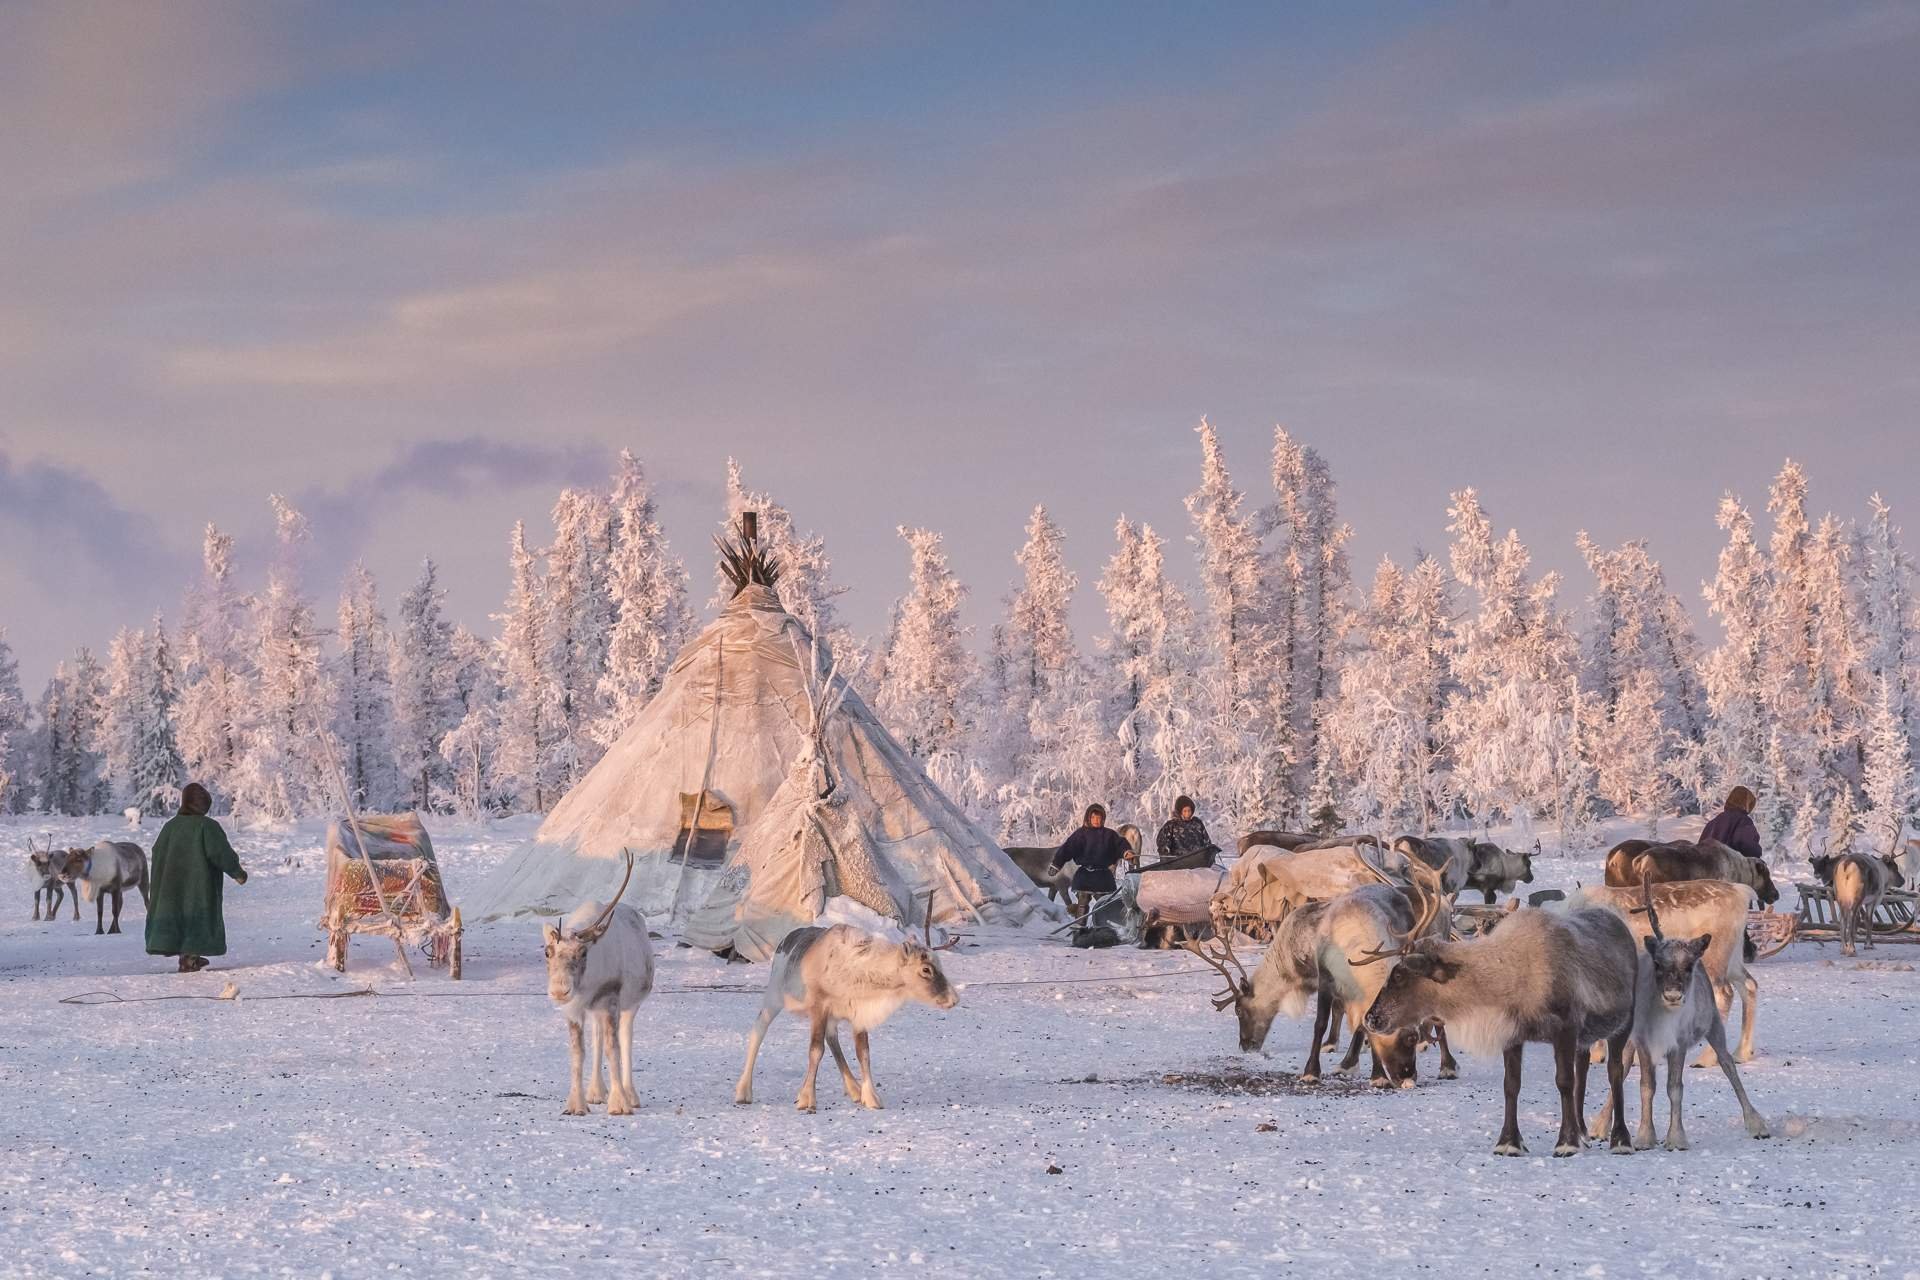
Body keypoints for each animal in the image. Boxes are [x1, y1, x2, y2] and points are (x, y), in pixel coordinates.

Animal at [545, 855, 656, 1113]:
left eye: (583, 952)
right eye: (547, 952)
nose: (559, 991)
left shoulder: (611, 1002)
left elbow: (613, 1049)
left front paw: (619, 1104)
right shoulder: (574, 1009)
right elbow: (579, 1052)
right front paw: (576, 1104)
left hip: (630, 1005)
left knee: (625, 1039)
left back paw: (630, 1094)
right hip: (595, 1011)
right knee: (596, 1037)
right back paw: (595, 1092)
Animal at [733, 921, 960, 1113]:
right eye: (926, 969)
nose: (954, 999)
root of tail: (786, 938)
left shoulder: (858, 1014)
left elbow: (863, 1053)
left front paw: (871, 1097)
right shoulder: (819, 1007)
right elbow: (815, 1051)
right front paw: (807, 1099)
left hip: (831, 1017)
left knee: (832, 1038)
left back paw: (854, 1089)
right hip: (774, 996)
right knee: (758, 1030)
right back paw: (743, 1091)